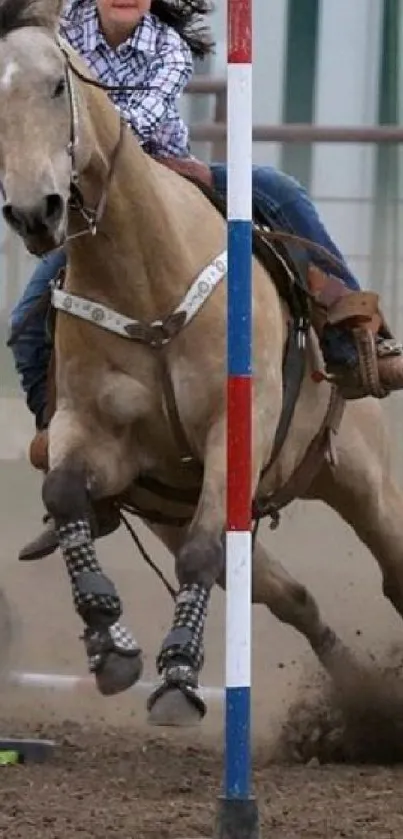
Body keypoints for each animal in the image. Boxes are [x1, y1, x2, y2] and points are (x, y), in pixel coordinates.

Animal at [0, 0, 403, 728]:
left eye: (55, 86)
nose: (33, 212)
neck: (147, 279)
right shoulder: (92, 434)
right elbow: (65, 495)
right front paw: (110, 643)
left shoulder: (233, 433)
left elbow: (199, 550)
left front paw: (179, 676)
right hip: (173, 510)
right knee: (291, 595)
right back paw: (357, 697)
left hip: (363, 477)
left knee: (393, 572)